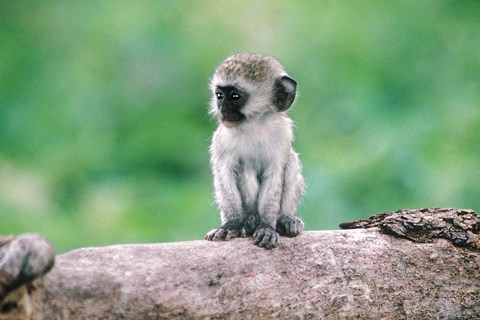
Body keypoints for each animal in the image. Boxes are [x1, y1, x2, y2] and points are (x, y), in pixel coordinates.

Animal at [205, 53, 304, 250]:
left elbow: (275, 174)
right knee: (245, 167)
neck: (254, 126)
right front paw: (231, 225)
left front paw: (266, 226)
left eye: (235, 97)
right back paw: (249, 220)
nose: (222, 110)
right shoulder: (221, 140)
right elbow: (224, 174)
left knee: (291, 160)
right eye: (219, 96)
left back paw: (284, 219)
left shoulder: (282, 135)